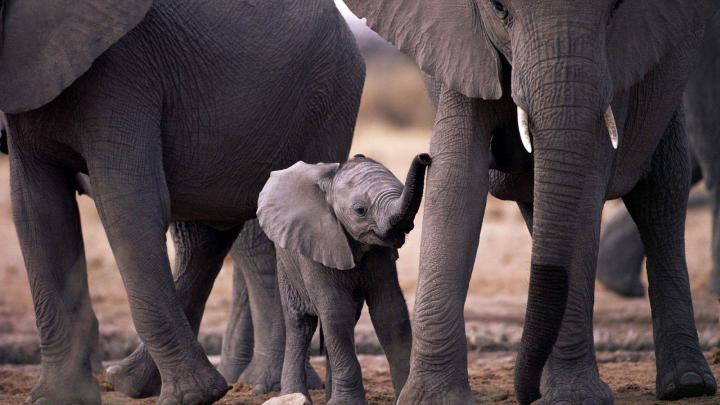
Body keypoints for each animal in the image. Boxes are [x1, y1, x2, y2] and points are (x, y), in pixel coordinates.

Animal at [3, 0, 364, 403]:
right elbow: (38, 214)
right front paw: (58, 398)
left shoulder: (123, 72)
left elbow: (128, 205)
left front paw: (193, 396)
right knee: (207, 236)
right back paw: (130, 381)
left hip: (327, 102)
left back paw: (257, 386)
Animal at [257, 153, 430, 404]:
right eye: (360, 210)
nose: (425, 157)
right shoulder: (316, 243)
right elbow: (336, 312)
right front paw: (347, 403)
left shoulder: (380, 254)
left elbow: (390, 312)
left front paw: (403, 397)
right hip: (286, 262)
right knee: (302, 324)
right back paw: (294, 395)